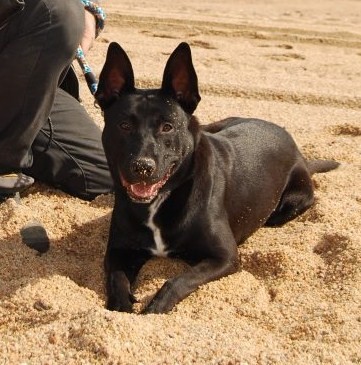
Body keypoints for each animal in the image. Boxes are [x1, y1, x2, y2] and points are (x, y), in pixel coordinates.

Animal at [95, 41, 338, 312]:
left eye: (167, 127)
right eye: (124, 125)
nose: (142, 167)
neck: (160, 200)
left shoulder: (225, 256)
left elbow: (177, 280)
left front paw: (156, 308)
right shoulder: (117, 252)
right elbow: (117, 280)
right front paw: (121, 307)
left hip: (293, 200)